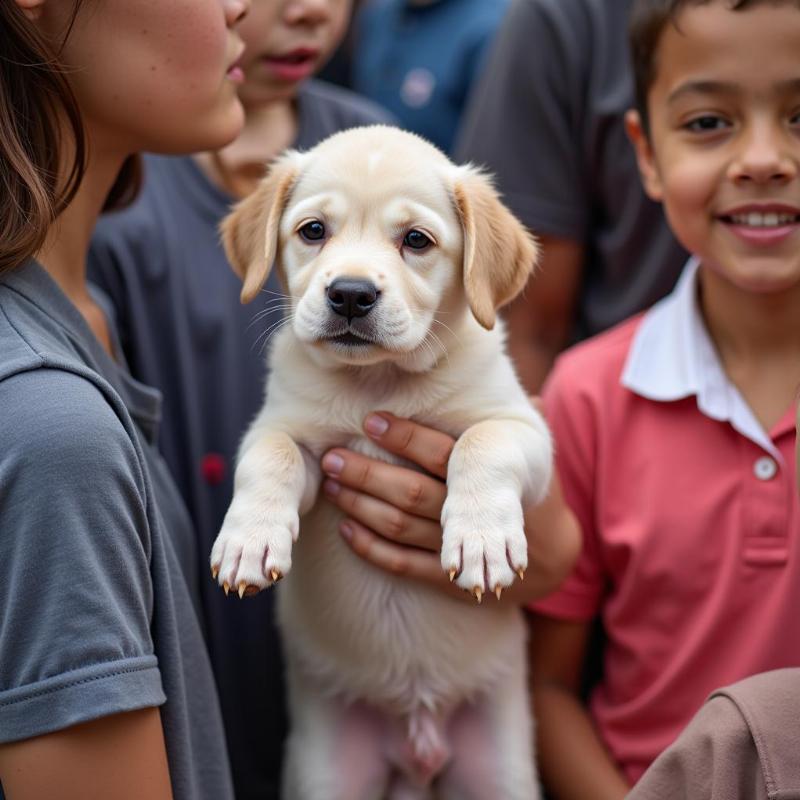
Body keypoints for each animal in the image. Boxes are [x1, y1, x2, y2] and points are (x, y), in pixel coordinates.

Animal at [209, 128, 552, 796]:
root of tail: (418, 742)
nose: (350, 294)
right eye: (313, 230)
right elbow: (271, 458)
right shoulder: (288, 430)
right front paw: (248, 540)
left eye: (415, 241)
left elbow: (482, 444)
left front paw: (481, 540)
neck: (379, 383)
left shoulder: (525, 428)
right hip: (328, 771)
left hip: (499, 769)